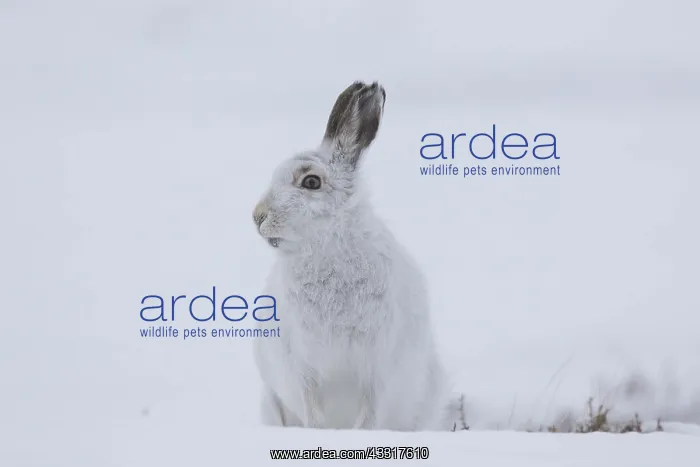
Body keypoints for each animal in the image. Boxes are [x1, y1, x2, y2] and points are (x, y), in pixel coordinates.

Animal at [251, 81, 460, 431]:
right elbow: (312, 412)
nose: (257, 216)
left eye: (311, 182)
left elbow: (369, 416)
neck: (326, 250)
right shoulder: (301, 367)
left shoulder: (376, 367)